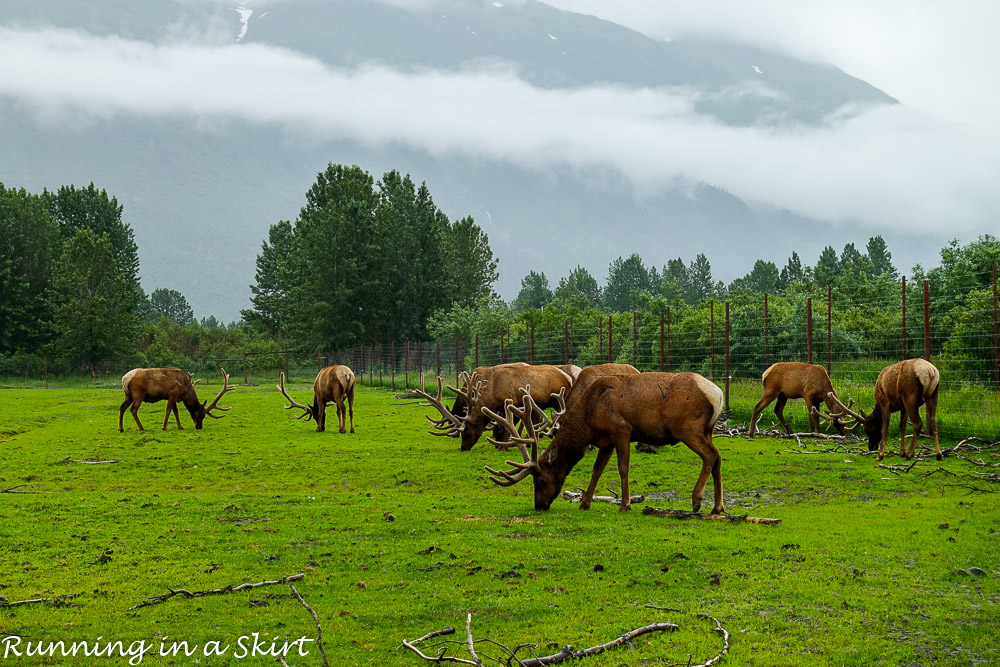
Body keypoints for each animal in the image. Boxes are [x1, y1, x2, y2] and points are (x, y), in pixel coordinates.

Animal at [482, 374, 724, 516]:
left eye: (540, 480)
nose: (539, 506)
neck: (589, 417)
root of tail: (718, 394)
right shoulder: (606, 441)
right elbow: (596, 470)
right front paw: (584, 503)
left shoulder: (621, 429)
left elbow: (623, 469)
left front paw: (625, 504)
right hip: (707, 430)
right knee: (718, 458)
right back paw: (717, 506)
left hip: (687, 428)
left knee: (710, 456)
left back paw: (697, 501)